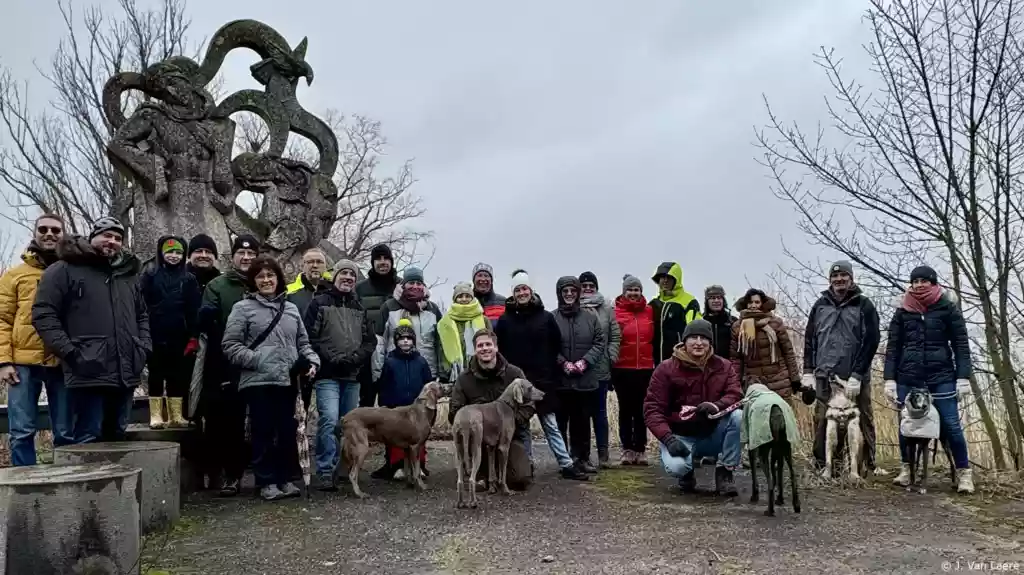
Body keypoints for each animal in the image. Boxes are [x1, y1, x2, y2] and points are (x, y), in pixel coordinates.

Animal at [450, 378, 544, 507]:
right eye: (530, 387)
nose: (543, 394)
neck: (507, 404)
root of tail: (463, 419)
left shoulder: (491, 446)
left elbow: (492, 470)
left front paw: (492, 488)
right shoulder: (503, 447)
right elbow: (502, 474)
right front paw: (506, 490)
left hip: (458, 450)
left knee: (459, 481)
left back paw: (460, 503)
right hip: (476, 448)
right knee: (471, 479)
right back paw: (473, 502)